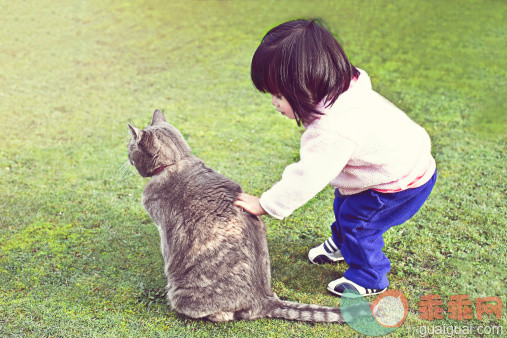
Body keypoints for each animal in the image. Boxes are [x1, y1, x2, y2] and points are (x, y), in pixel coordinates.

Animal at [127, 110, 350, 322]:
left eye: (130, 146)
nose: (126, 154)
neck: (177, 161)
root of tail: (264, 299)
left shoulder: (164, 229)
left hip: (183, 295)